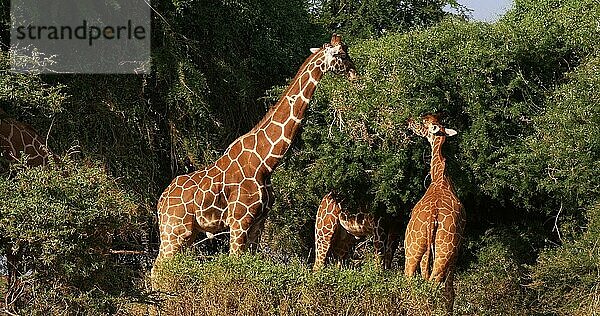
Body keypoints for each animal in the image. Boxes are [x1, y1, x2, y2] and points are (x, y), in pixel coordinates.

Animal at [152, 33, 356, 270]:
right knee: (157, 269)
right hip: (175, 231)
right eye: (341, 54)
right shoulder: (239, 221)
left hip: (188, 233)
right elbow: (234, 265)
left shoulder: (258, 222)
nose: (354, 73)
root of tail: (160, 203)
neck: (265, 163)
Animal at [406, 113, 466, 312]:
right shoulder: (456, 251)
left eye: (424, 122)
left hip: (414, 247)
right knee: (432, 281)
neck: (439, 178)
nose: (409, 121)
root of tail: (434, 216)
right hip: (441, 250)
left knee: (414, 278)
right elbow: (449, 289)